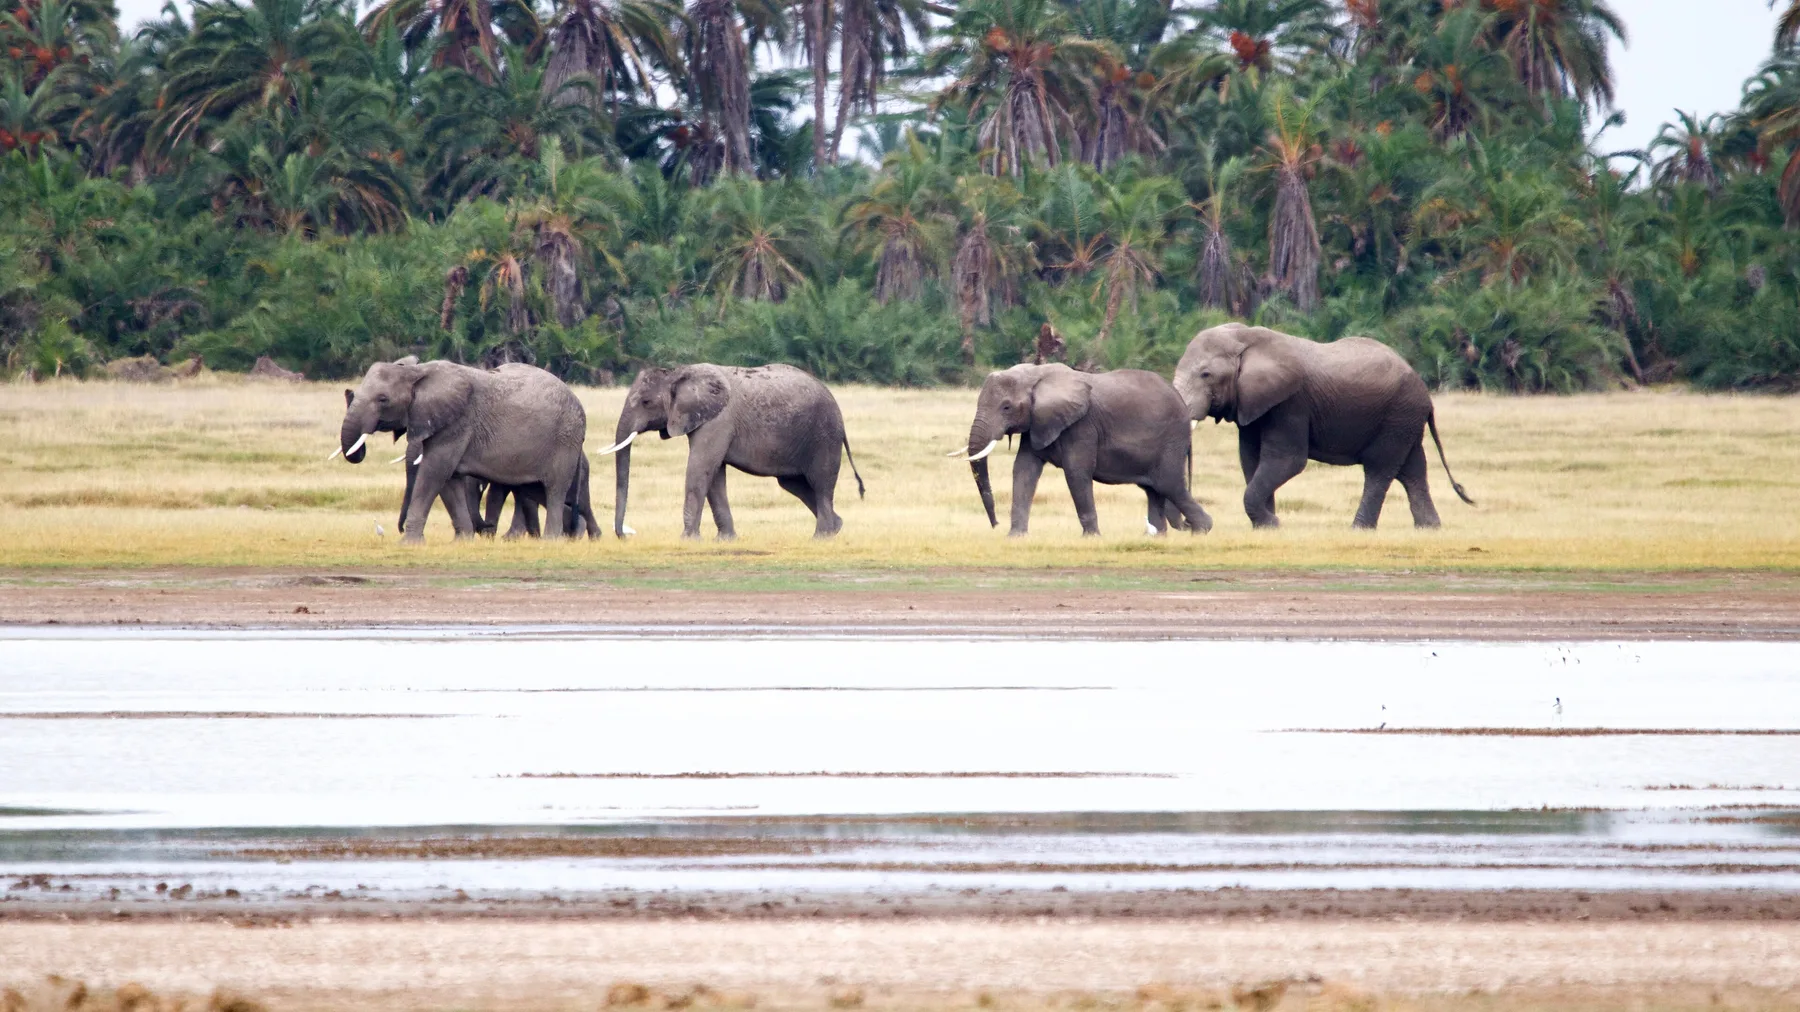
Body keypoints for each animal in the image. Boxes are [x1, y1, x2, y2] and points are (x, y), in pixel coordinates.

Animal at [338, 357, 588, 543]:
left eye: (383, 399)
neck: (417, 372)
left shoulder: (457, 423)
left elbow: (435, 471)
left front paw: (409, 543)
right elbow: (449, 480)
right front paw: (462, 541)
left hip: (565, 439)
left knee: (554, 489)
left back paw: (552, 540)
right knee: (532, 489)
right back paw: (574, 531)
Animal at [599, 363, 865, 539]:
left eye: (646, 402)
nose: (625, 535)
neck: (679, 373)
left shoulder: (718, 420)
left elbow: (700, 469)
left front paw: (687, 539)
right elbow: (714, 475)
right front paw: (724, 540)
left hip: (823, 435)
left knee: (821, 483)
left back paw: (821, 537)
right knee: (795, 485)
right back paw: (836, 528)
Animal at [959, 363, 1212, 538]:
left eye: (1006, 407)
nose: (995, 525)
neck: (1035, 374)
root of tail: (1184, 406)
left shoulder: (1082, 426)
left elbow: (1076, 472)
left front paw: (1091, 538)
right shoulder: (1037, 422)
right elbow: (1024, 470)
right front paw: (1016, 537)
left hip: (1172, 439)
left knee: (1170, 484)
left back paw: (1201, 530)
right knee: (1154, 489)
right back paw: (1158, 536)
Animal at [1172, 322, 1473, 529]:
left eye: (1206, 374)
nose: (1187, 525)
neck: (1246, 337)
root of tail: (1426, 394)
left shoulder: (1291, 403)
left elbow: (1287, 460)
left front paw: (1272, 524)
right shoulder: (1254, 403)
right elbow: (1251, 459)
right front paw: (1268, 527)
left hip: (1398, 415)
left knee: (1380, 469)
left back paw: (1358, 530)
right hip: (1405, 419)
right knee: (1412, 469)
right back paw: (1429, 529)